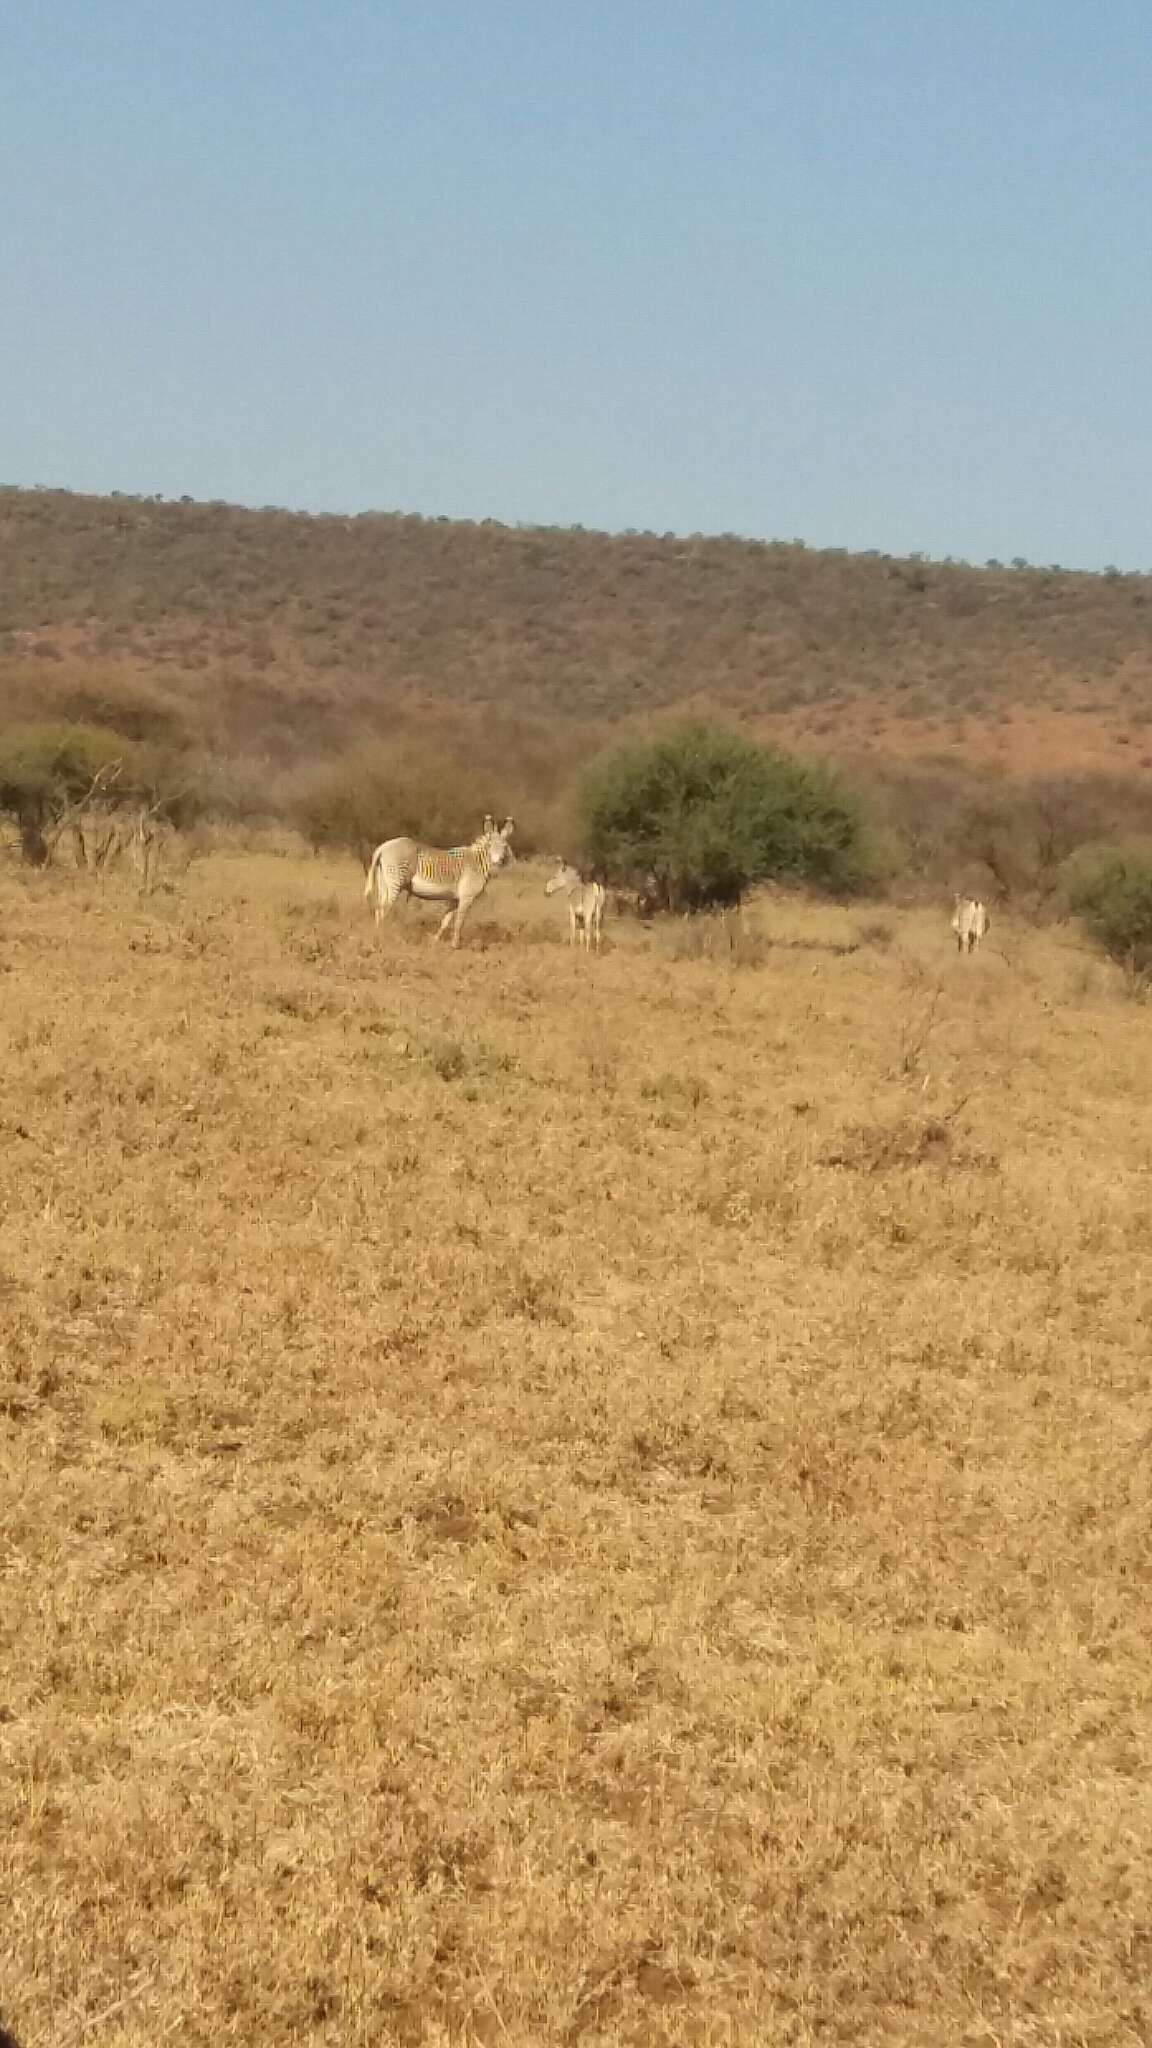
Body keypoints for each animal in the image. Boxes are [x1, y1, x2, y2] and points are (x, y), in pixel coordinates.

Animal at [364, 811, 512, 946]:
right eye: (489, 845)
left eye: (505, 846)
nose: (497, 862)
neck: (478, 862)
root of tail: (383, 847)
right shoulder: (466, 897)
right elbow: (459, 922)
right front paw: (455, 946)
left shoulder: (454, 898)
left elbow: (446, 920)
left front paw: (435, 941)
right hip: (395, 882)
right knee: (383, 909)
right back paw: (385, 939)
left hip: (384, 883)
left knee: (378, 909)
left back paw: (377, 936)